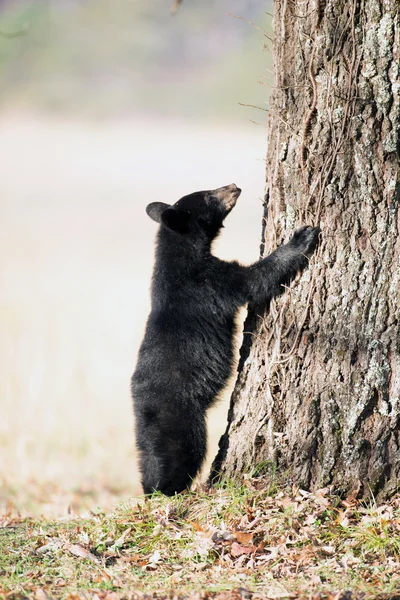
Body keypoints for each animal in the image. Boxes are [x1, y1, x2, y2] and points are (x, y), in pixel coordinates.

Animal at [130, 183, 318, 496]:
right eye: (208, 195)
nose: (233, 186)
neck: (181, 256)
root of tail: (140, 403)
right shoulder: (210, 283)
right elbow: (255, 280)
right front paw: (301, 238)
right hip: (179, 415)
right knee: (180, 452)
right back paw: (168, 488)